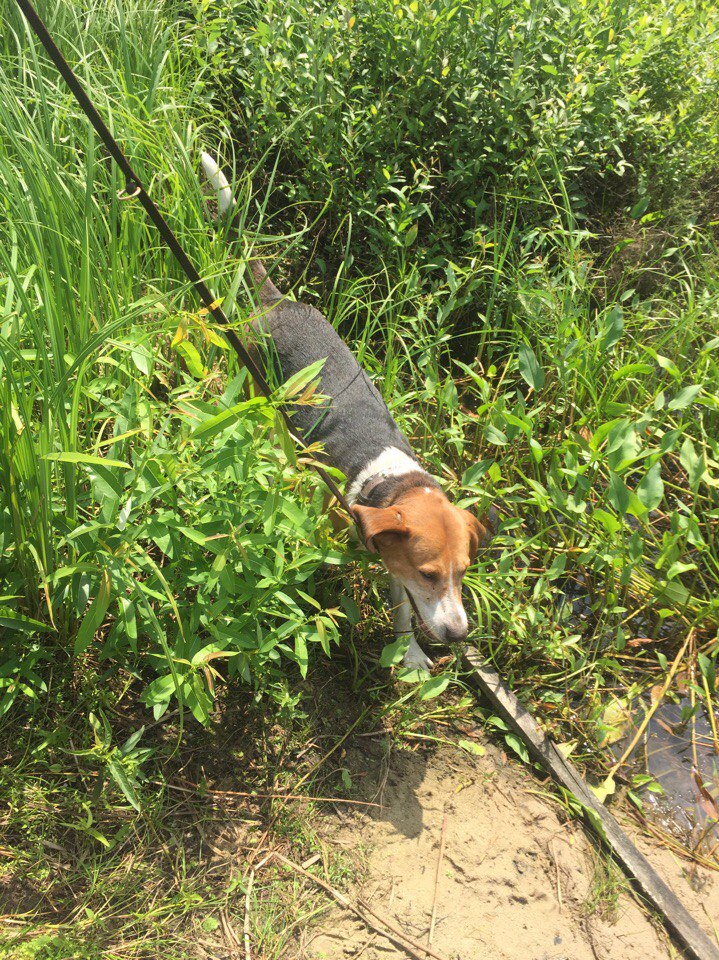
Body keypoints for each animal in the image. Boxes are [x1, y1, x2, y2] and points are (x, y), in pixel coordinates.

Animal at [200, 154, 498, 672]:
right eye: (429, 574)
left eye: (463, 572)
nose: (460, 635)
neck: (389, 481)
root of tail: (278, 301)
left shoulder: (394, 563)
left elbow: (402, 608)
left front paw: (409, 652)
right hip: (254, 383)